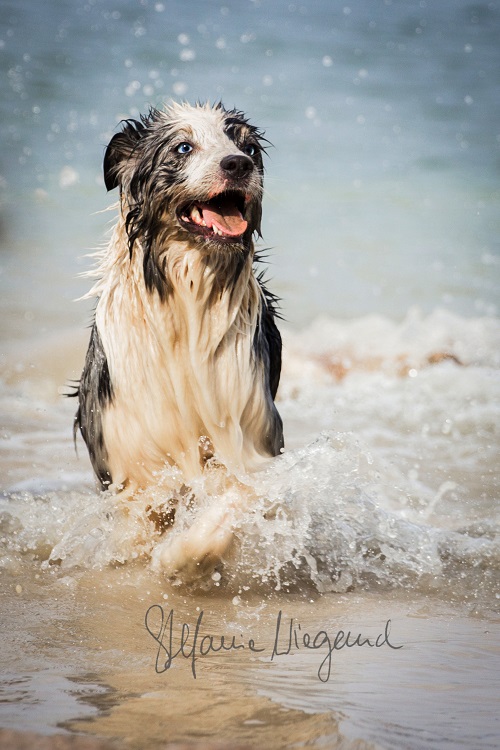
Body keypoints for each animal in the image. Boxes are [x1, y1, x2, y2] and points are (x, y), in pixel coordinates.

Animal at [74, 101, 286, 576]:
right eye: (183, 147)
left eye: (247, 146)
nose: (238, 165)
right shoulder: (132, 457)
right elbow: (139, 520)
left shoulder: (250, 420)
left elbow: (238, 491)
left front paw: (184, 552)